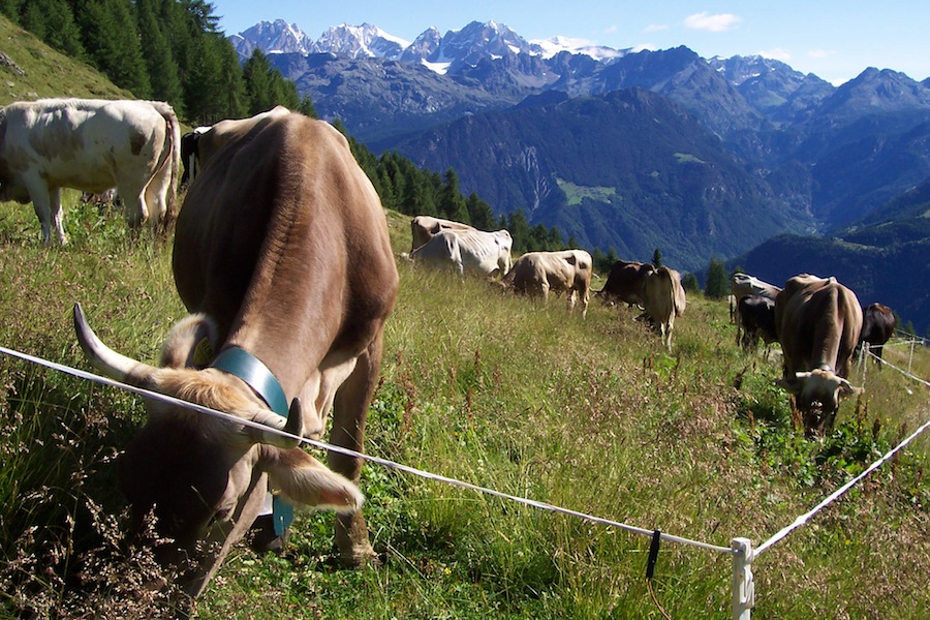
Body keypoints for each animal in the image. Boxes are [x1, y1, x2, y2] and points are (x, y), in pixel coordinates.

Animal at [0, 98, 182, 243]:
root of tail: (153, 105)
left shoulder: (32, 176)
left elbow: (42, 213)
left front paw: (45, 244)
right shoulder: (52, 181)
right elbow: (56, 214)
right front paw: (62, 242)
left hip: (132, 183)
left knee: (138, 216)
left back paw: (130, 247)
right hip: (161, 178)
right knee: (158, 213)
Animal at [69, 109, 396, 604]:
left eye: (221, 511)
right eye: (124, 477)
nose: (133, 597)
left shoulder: (370, 346)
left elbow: (348, 454)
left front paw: (355, 550)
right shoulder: (218, 315)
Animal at [772, 274, 860, 438]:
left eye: (833, 406)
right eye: (805, 400)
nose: (813, 435)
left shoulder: (847, 362)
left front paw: (830, 432)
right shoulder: (797, 358)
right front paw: (797, 425)